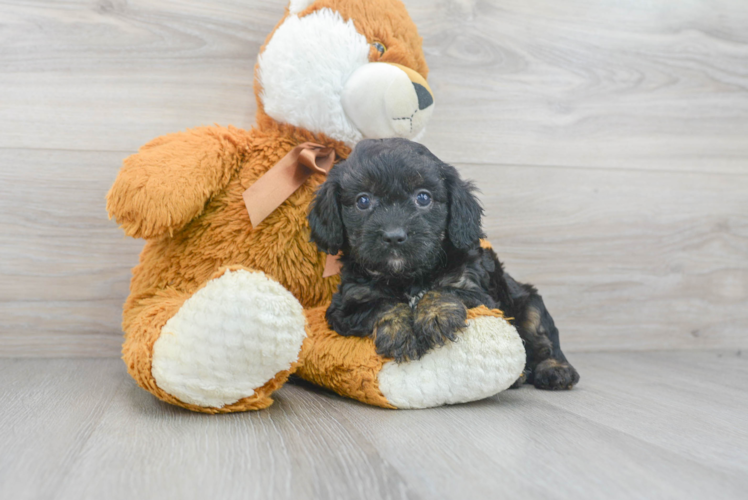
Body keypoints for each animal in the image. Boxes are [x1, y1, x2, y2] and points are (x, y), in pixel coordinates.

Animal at [306, 138, 580, 390]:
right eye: (363, 201)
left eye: (423, 197)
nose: (394, 235)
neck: (407, 277)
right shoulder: (346, 306)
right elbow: (382, 304)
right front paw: (400, 332)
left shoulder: (479, 292)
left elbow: (443, 289)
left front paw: (437, 316)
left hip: (529, 304)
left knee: (543, 341)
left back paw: (555, 370)